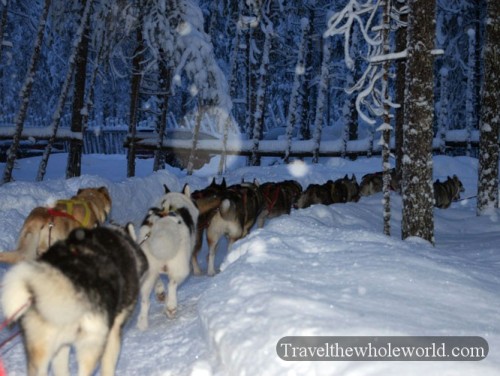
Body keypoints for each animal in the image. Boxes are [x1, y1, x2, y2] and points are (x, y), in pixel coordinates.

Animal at [138, 185, 200, 328]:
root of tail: (162, 222)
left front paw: (160, 292)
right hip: (181, 268)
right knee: (172, 284)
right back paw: (171, 307)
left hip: (148, 272)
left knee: (145, 300)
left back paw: (142, 322)